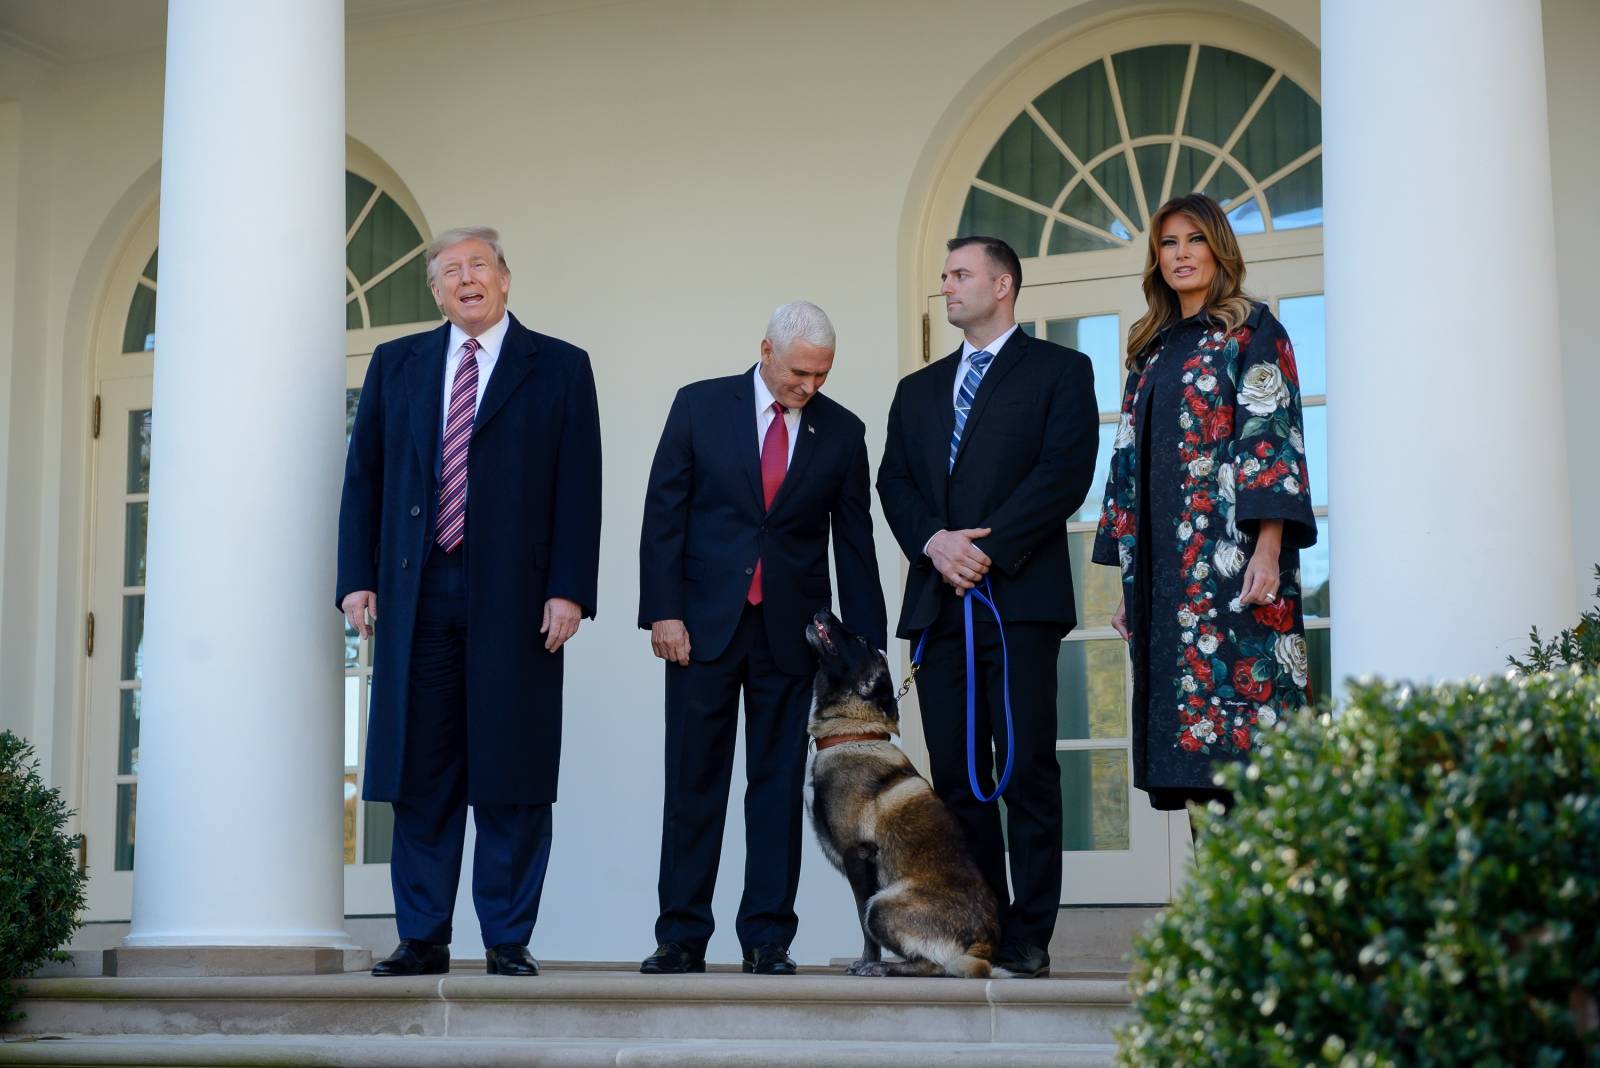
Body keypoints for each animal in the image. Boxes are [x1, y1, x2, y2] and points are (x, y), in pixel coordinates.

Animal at [812, 607, 998, 978]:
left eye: (860, 640)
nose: (824, 608)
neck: (854, 733)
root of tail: (984, 940)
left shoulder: (858, 857)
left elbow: (861, 922)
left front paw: (867, 961)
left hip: (883, 904)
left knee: (934, 965)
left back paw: (885, 968)